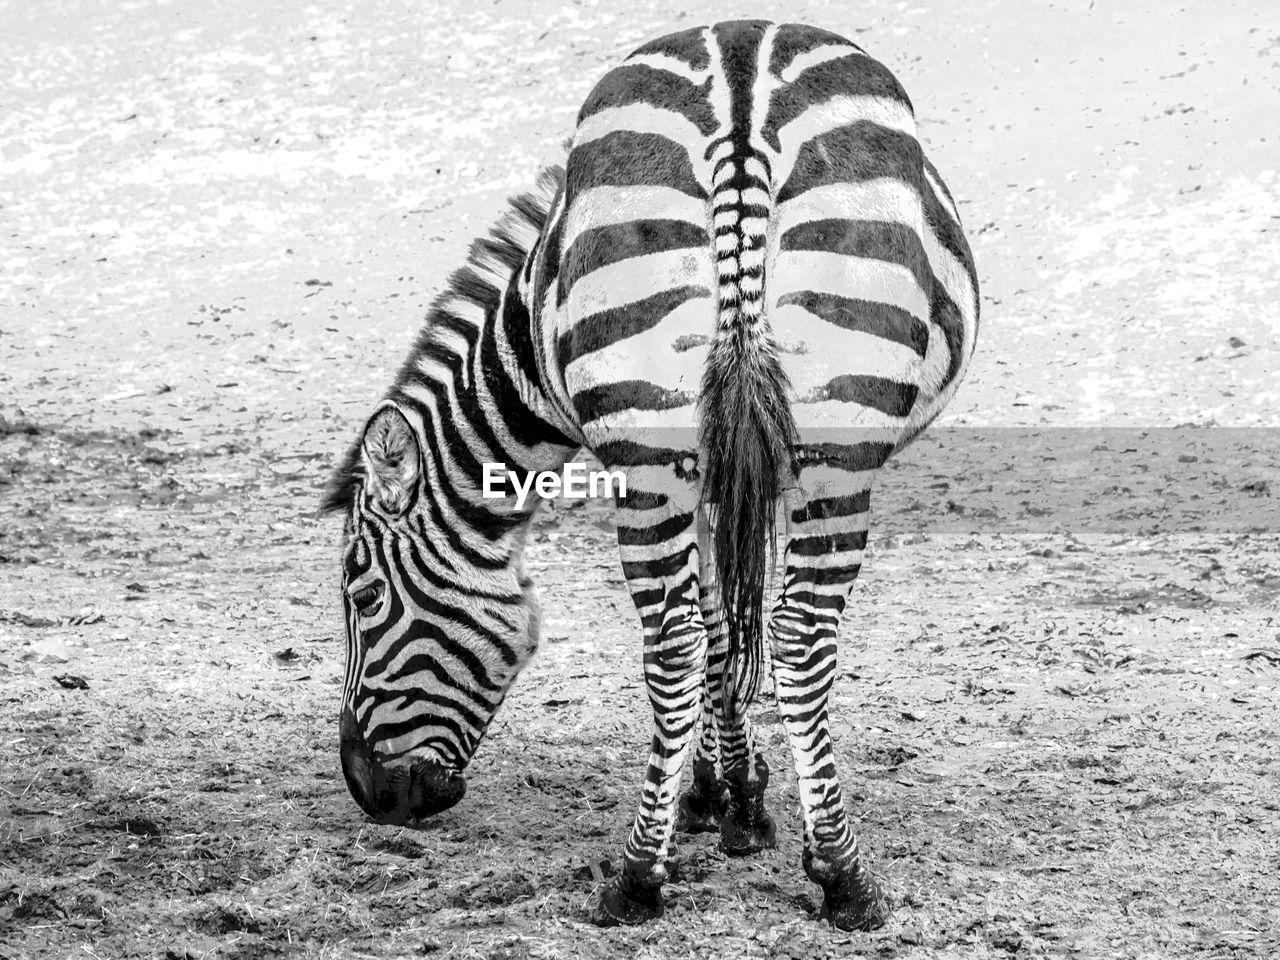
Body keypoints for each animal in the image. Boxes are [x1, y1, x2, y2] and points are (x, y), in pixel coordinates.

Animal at [322, 20, 977, 931]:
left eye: (364, 593)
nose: (369, 794)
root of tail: (741, 100)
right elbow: (726, 619)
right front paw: (731, 797)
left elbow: (720, 617)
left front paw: (723, 796)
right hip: (806, 442)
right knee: (774, 637)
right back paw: (816, 874)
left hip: (679, 441)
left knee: (697, 637)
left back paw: (653, 874)